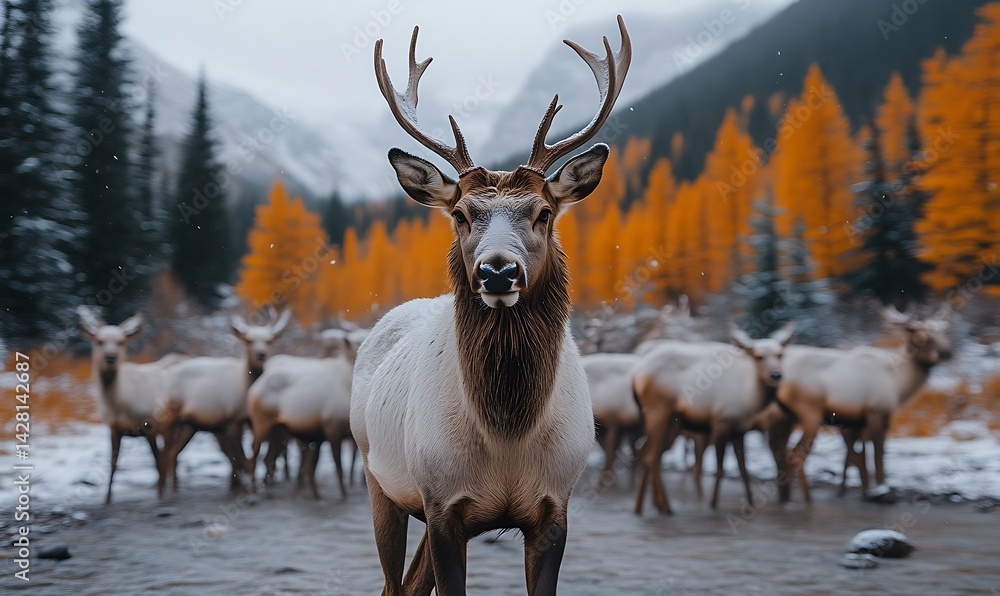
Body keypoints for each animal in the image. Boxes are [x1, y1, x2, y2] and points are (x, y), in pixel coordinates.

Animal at [77, 306, 184, 504]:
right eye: (99, 341)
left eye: (121, 342)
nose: (111, 357)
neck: (119, 404)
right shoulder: (114, 428)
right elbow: (113, 464)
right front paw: (107, 500)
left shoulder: (150, 426)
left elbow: (158, 463)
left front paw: (159, 496)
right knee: (173, 457)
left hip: (175, 423)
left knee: (170, 458)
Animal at [158, 308, 291, 494]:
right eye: (249, 341)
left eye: (269, 340)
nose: (261, 354)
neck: (246, 391)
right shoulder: (232, 420)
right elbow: (241, 460)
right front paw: (247, 489)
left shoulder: (244, 422)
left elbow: (246, 459)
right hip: (170, 414)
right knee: (165, 453)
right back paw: (163, 490)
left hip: (189, 425)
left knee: (172, 454)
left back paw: (173, 489)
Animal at [350, 17, 630, 595]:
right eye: (460, 213)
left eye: (544, 211)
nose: (497, 271)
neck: (506, 433)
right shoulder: (442, 504)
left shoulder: (554, 507)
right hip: (379, 477)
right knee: (392, 583)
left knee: (410, 582)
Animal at [632, 323, 795, 515]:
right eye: (759, 356)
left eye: (780, 354)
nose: (776, 375)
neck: (749, 401)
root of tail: (636, 375)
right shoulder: (721, 422)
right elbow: (719, 469)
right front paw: (713, 504)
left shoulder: (739, 430)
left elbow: (743, 469)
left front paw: (750, 503)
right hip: (658, 411)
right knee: (651, 455)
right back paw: (665, 507)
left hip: (670, 422)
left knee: (646, 450)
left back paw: (644, 507)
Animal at [770, 305, 953, 503]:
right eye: (921, 338)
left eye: (943, 333)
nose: (947, 352)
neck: (897, 384)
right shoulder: (877, 411)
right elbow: (878, 453)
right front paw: (882, 491)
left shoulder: (855, 422)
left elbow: (857, 456)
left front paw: (864, 491)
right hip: (810, 413)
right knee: (795, 454)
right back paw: (807, 499)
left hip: (785, 417)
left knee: (780, 452)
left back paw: (785, 496)